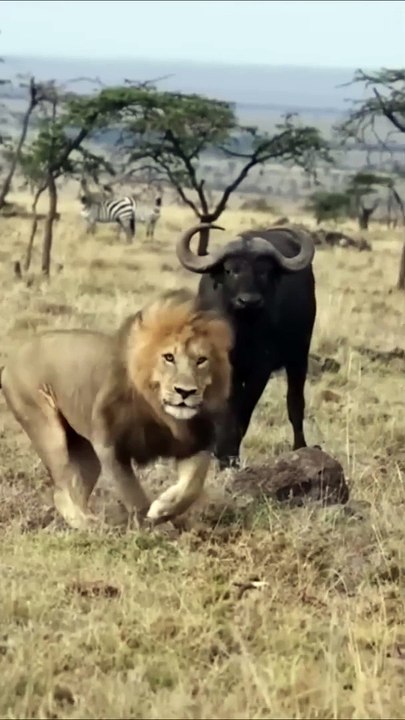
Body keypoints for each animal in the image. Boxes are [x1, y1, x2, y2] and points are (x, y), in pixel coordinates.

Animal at [0, 289, 233, 530]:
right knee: (62, 493)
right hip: (48, 432)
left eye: (201, 360)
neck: (162, 414)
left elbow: (192, 486)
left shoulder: (194, 442)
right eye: (169, 357)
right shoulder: (109, 445)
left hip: (85, 453)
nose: (185, 392)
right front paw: (146, 525)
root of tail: (11, 361)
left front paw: (162, 511)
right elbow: (133, 494)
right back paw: (91, 526)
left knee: (74, 489)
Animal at [176, 223, 317, 470]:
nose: (249, 301)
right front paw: (220, 452)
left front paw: (229, 455)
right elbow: (227, 408)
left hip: (299, 357)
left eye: (264, 271)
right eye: (231, 270)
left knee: (295, 403)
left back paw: (300, 447)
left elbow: (244, 410)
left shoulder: (261, 369)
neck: (241, 331)